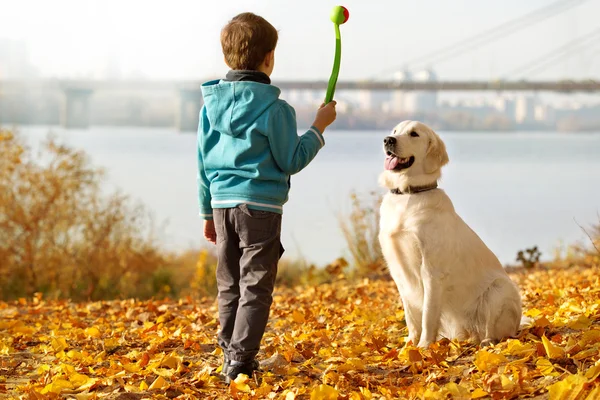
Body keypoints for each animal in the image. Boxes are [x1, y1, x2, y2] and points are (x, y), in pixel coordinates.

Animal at [378, 120, 524, 348]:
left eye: (414, 134)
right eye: (395, 131)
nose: (388, 140)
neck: (409, 195)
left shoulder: (431, 271)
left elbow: (428, 315)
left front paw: (423, 347)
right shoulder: (398, 271)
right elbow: (411, 317)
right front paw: (409, 346)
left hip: (500, 288)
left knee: (499, 332)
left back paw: (487, 341)